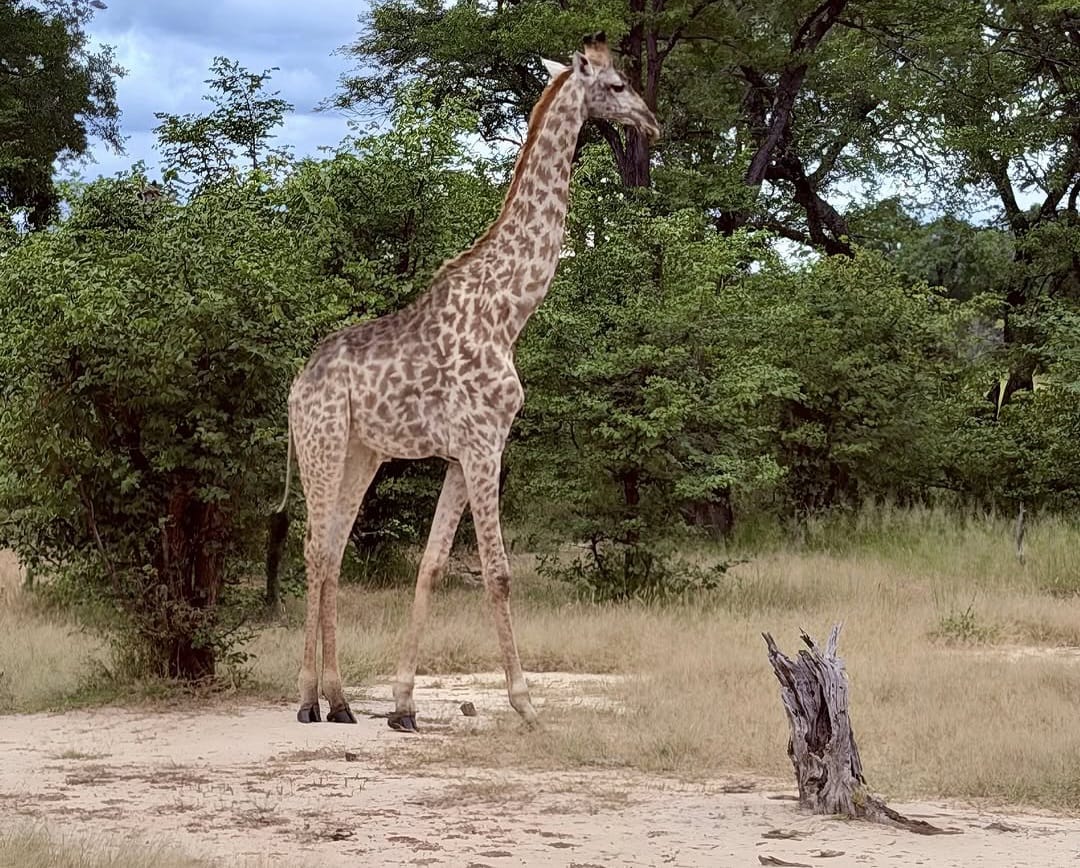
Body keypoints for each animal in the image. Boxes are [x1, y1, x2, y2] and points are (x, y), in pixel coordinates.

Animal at [278, 31, 660, 730]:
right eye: (617, 85)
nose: (651, 122)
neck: (509, 312)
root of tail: (296, 385)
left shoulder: (461, 454)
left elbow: (430, 566)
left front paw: (402, 704)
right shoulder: (486, 444)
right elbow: (499, 573)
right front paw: (527, 704)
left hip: (362, 454)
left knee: (333, 551)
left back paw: (338, 701)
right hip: (322, 444)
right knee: (316, 550)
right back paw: (310, 700)